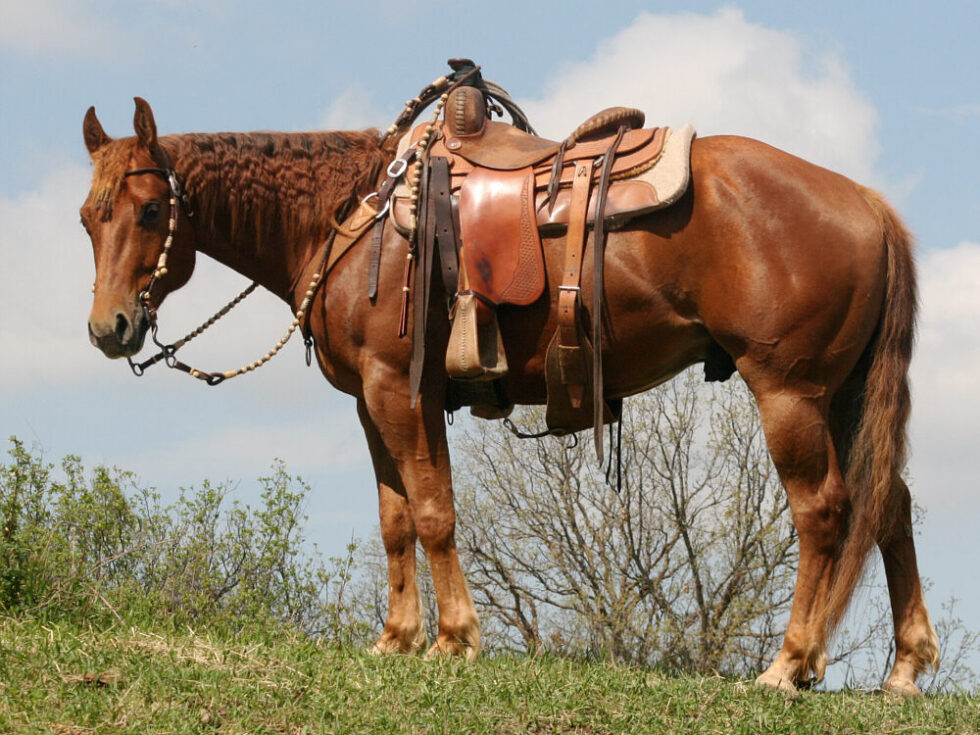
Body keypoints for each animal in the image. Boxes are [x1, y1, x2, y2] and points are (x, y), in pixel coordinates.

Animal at [80, 96, 939, 695]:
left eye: (151, 209)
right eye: (90, 216)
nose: (108, 327)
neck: (353, 212)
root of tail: (868, 204)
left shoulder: (400, 389)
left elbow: (433, 510)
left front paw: (455, 637)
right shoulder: (372, 401)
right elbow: (396, 520)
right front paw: (396, 638)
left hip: (789, 390)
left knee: (823, 511)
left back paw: (790, 663)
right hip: (844, 394)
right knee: (889, 502)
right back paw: (903, 667)